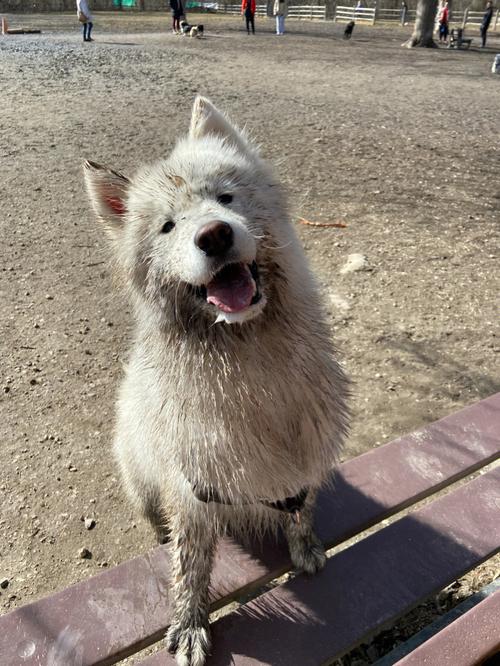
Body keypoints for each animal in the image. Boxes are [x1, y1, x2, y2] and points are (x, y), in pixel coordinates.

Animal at [83, 97, 348, 664]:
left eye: (225, 197)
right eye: (167, 227)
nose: (214, 234)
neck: (249, 359)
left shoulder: (304, 452)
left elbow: (302, 507)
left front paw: (305, 546)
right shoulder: (192, 487)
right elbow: (191, 564)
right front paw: (189, 622)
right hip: (140, 474)